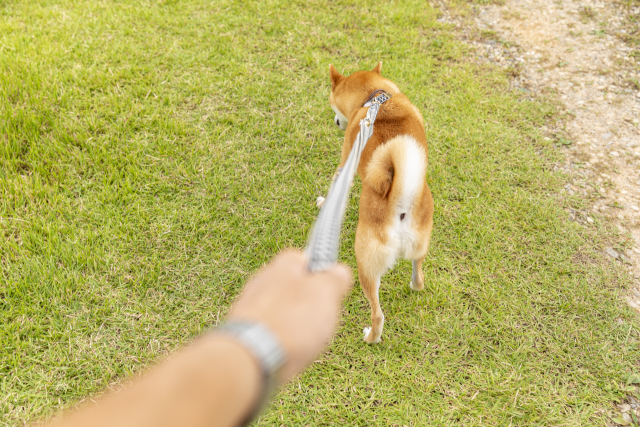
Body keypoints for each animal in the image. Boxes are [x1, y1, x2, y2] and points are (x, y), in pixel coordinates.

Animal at [320, 62, 436, 344]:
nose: (335, 122)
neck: (375, 99)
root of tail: (401, 203)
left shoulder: (345, 162)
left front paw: (322, 202)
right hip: (420, 245)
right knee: (419, 276)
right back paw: (414, 285)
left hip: (366, 264)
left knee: (378, 314)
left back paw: (370, 337)